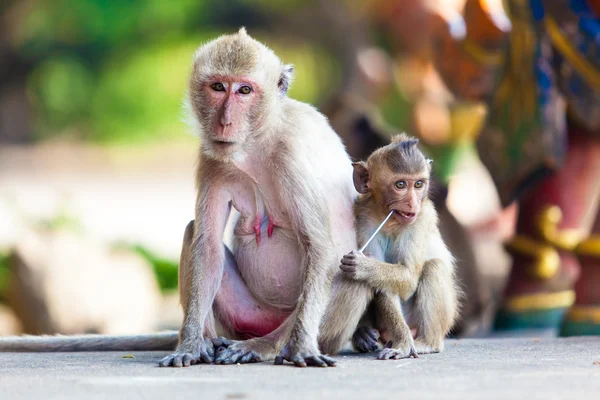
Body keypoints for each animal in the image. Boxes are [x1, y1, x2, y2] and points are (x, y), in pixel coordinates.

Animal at [0, 27, 356, 368]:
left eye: (245, 91)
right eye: (218, 87)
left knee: (343, 266)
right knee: (194, 232)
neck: (255, 143)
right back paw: (208, 340)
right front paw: (191, 345)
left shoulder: (292, 153)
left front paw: (299, 347)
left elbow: (319, 247)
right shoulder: (211, 158)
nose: (224, 121)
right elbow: (207, 244)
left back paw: (265, 345)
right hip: (246, 314)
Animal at [318, 134, 460, 360]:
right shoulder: (365, 219)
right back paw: (364, 335)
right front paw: (402, 341)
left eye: (418, 184)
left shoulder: (421, 218)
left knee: (433, 267)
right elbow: (382, 285)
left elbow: (408, 277)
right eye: (400, 185)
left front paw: (362, 266)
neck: (391, 220)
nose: (412, 203)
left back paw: (427, 343)